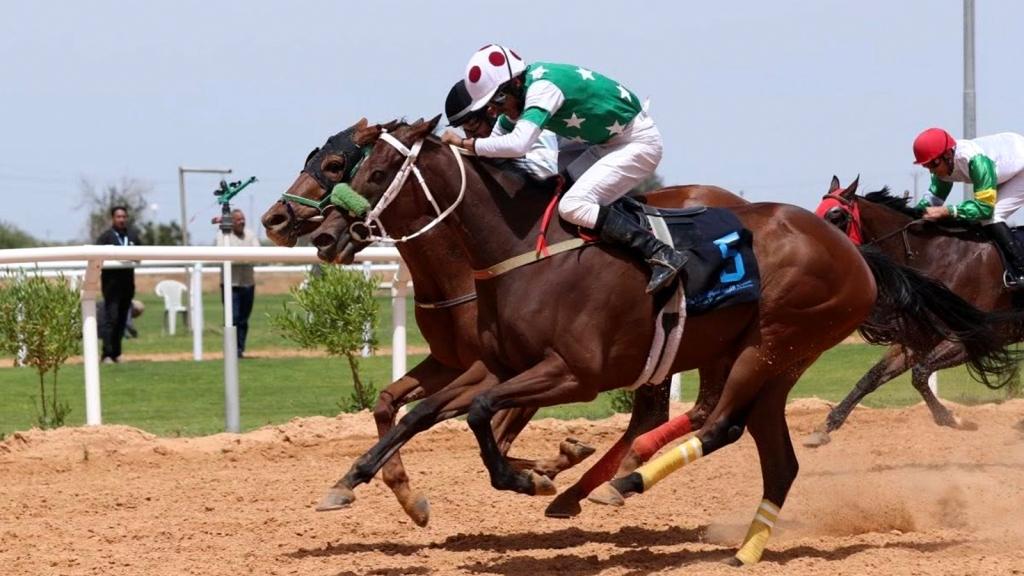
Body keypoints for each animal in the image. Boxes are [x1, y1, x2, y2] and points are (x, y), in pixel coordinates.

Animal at [263, 118, 751, 523]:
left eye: (337, 164)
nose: (277, 220)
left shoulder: (508, 367)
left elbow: (481, 426)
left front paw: (550, 464)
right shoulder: (451, 362)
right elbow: (393, 405)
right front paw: (380, 489)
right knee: (663, 412)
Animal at [806, 176, 1021, 446]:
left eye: (836, 215)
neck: (940, 257)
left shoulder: (974, 337)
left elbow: (919, 374)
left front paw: (952, 418)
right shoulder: (916, 341)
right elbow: (871, 377)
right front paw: (824, 427)